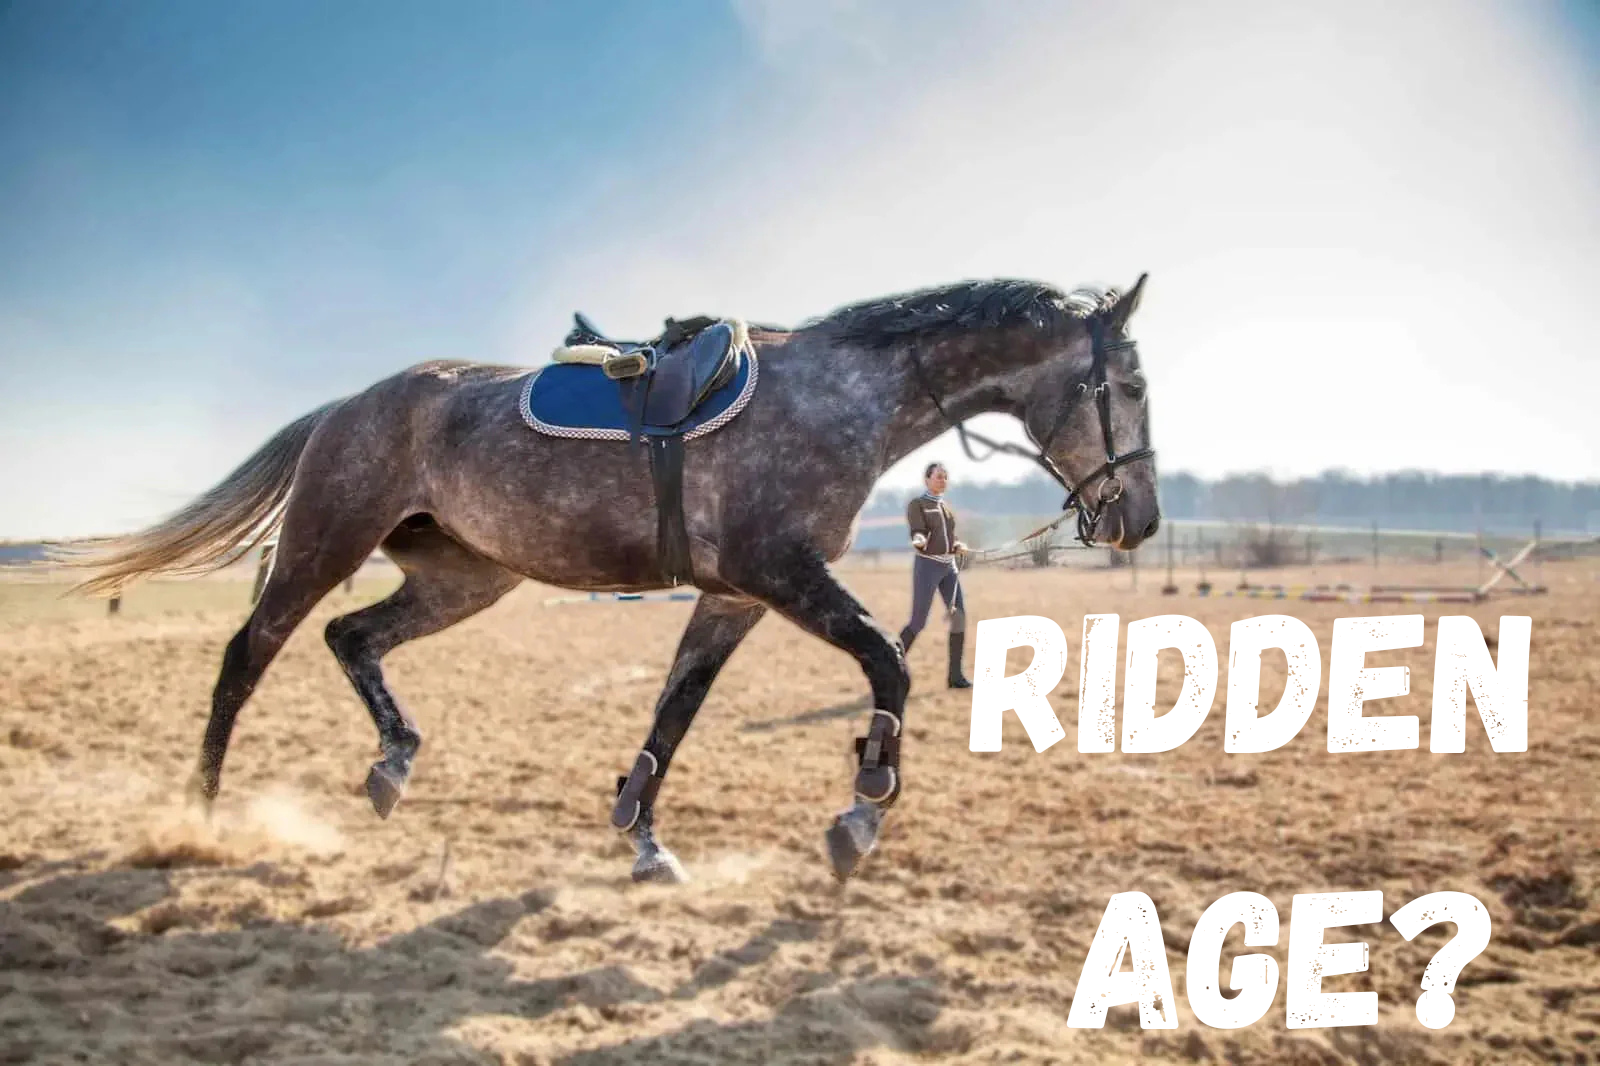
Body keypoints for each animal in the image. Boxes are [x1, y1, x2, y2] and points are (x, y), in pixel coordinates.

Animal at [58, 274, 1161, 884]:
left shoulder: (734, 595)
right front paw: (862, 808)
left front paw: (640, 835)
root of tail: (347, 405)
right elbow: (887, 667)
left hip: (465, 578)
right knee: (247, 657)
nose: (1138, 519)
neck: (841, 395)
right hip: (324, 545)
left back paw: (392, 762)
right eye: (1134, 383)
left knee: (351, 638)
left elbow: (674, 711)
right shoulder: (777, 572)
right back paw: (197, 816)